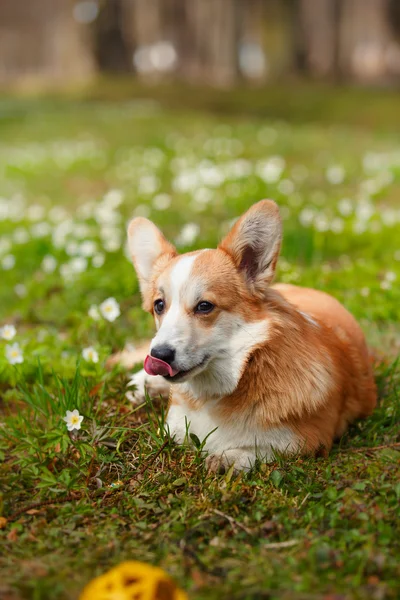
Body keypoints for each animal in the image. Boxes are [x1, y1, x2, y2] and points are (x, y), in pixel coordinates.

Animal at [126, 202, 376, 474]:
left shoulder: (308, 439)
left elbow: (261, 449)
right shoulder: (173, 428)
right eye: (159, 305)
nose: (158, 355)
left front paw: (230, 458)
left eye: (204, 306)